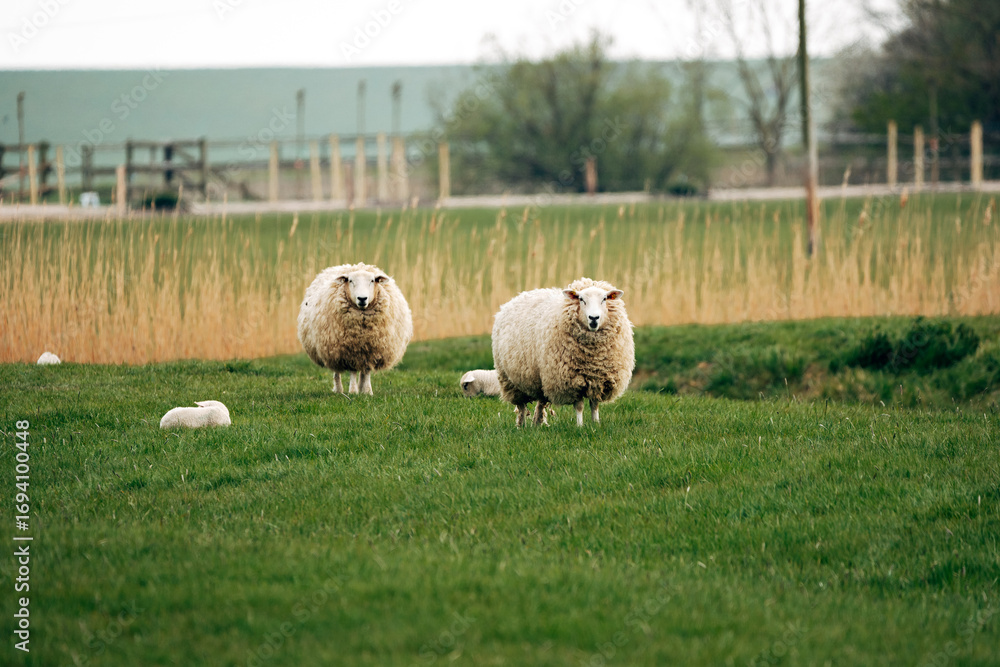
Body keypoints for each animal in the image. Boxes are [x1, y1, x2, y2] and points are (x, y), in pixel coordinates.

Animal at [297, 262, 413, 395]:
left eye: (372, 280)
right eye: (350, 280)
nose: (362, 298)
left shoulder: (372, 350)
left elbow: (366, 371)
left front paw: (367, 391)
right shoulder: (349, 350)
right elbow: (352, 371)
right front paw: (353, 391)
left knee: (362, 370)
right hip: (333, 348)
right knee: (337, 371)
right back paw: (339, 390)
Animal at [492, 277, 635, 427]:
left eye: (604, 299)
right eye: (581, 299)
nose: (594, 318)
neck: (593, 356)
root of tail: (520, 295)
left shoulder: (598, 380)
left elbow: (594, 405)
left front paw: (596, 423)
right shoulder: (572, 382)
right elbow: (579, 406)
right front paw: (580, 426)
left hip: (540, 378)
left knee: (540, 402)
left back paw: (537, 423)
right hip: (509, 380)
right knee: (521, 406)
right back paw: (521, 425)